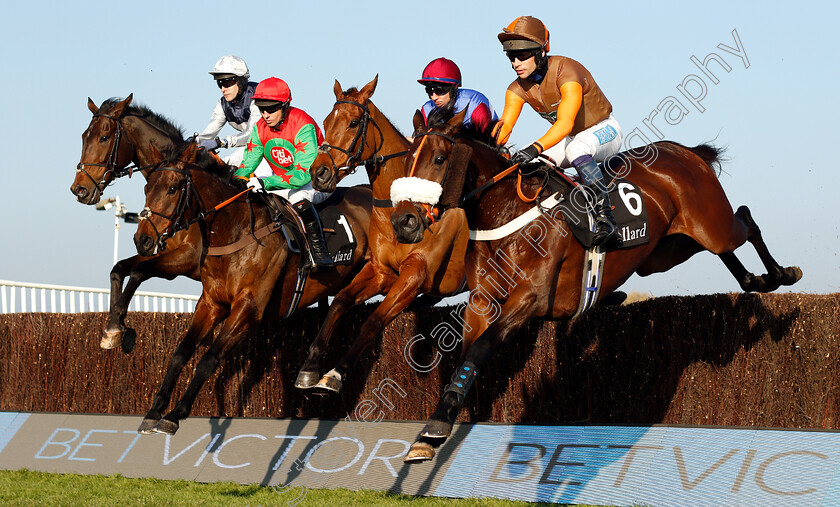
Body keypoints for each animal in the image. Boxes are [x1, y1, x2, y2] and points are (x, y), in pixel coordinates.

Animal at [70, 97, 199, 356]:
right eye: (84, 136)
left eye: (104, 137)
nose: (79, 189)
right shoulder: (159, 249)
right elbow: (119, 268)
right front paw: (114, 326)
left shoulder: (190, 257)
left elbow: (138, 272)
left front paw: (117, 327)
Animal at [135, 141, 370, 434]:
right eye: (147, 188)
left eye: (172, 188)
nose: (142, 240)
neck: (236, 232)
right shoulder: (211, 303)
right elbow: (180, 353)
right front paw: (154, 411)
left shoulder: (248, 308)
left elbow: (208, 360)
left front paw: (175, 414)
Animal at [292, 76, 472, 392]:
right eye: (326, 121)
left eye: (354, 123)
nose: (319, 173)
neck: (395, 209)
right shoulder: (381, 270)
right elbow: (339, 302)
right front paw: (310, 366)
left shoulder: (414, 274)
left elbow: (374, 321)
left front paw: (335, 373)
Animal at [390, 109, 804, 462]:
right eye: (407, 157)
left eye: (439, 159)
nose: (404, 222)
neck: (506, 212)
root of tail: (685, 151)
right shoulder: (481, 301)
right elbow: (466, 356)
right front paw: (432, 431)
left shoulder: (529, 299)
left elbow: (480, 349)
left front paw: (435, 428)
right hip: (664, 252)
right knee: (723, 247)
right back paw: (754, 279)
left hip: (711, 225)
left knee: (745, 221)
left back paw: (781, 275)